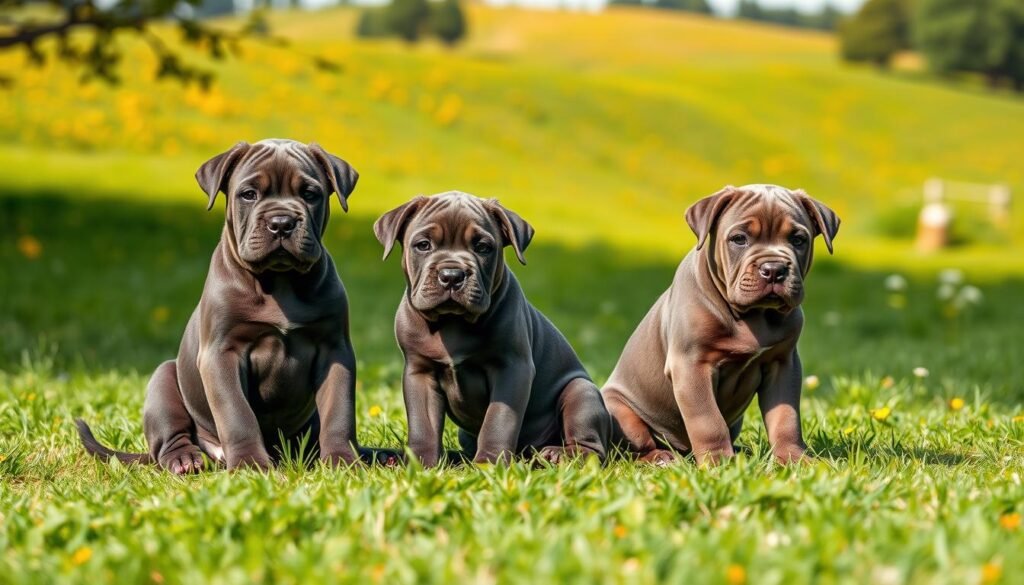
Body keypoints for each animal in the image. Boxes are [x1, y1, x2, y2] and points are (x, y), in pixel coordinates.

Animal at [74, 139, 387, 473]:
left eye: (309, 194)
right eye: (249, 194)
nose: (281, 223)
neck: (279, 281)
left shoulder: (335, 350)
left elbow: (339, 412)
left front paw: (343, 461)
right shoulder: (222, 353)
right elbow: (237, 414)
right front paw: (250, 463)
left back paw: (382, 455)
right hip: (163, 380)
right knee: (168, 440)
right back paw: (184, 460)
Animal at [372, 192, 606, 467]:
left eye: (482, 247)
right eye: (423, 245)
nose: (452, 275)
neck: (452, 322)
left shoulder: (512, 369)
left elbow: (499, 420)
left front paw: (489, 462)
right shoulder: (420, 372)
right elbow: (423, 425)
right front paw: (421, 464)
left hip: (581, 392)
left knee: (592, 447)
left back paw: (558, 454)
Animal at [602, 183, 835, 467]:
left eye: (798, 240)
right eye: (739, 239)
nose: (774, 269)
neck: (753, 315)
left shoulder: (783, 364)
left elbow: (785, 418)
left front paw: (794, 458)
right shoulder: (692, 365)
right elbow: (708, 421)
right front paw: (719, 462)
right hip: (622, 413)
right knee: (632, 448)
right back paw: (661, 457)